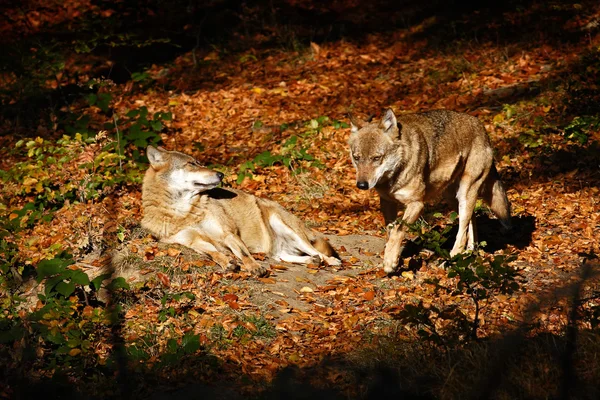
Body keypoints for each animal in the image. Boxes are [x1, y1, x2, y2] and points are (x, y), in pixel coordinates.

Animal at [139, 146, 338, 276]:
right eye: (191, 164)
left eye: (199, 162)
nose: (221, 174)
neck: (183, 212)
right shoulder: (192, 241)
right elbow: (214, 253)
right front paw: (227, 262)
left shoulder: (228, 233)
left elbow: (242, 254)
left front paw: (254, 267)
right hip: (277, 250)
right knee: (284, 257)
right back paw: (311, 261)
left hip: (286, 227)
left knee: (316, 251)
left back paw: (331, 261)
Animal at [350, 108, 512, 274]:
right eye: (356, 158)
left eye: (377, 158)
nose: (361, 185)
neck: (394, 178)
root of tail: (481, 126)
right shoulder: (387, 202)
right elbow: (390, 232)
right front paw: (393, 258)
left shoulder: (416, 204)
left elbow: (397, 230)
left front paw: (390, 263)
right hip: (452, 198)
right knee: (470, 223)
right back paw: (469, 253)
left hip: (465, 193)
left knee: (462, 232)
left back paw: (451, 260)